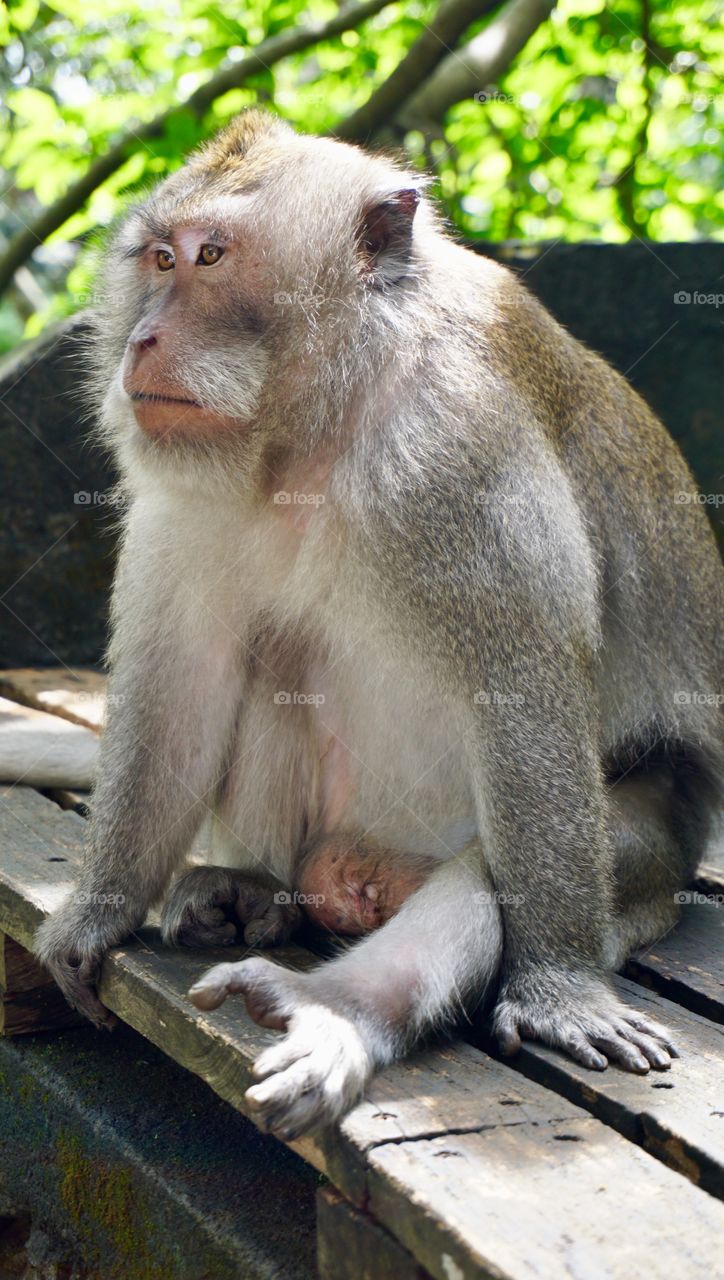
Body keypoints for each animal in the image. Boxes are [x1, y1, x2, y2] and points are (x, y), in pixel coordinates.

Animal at [35, 110, 724, 1141]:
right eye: (158, 259)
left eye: (211, 257)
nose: (143, 339)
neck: (319, 424)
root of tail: (364, 874)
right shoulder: (187, 481)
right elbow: (179, 687)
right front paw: (97, 911)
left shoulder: (460, 452)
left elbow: (522, 697)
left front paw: (560, 989)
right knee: (274, 661)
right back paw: (249, 891)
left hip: (648, 850)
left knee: (497, 870)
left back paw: (336, 1012)